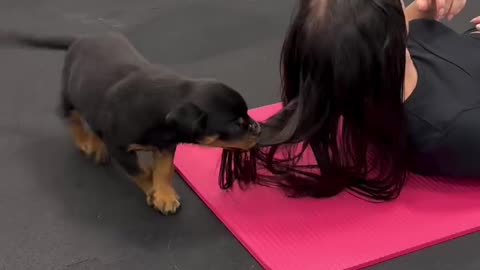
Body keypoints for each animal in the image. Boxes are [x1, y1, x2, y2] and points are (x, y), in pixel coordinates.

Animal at [0, 30, 262, 215]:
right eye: (236, 123)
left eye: (246, 115)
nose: (258, 128)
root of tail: (79, 38)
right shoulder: (121, 149)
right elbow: (141, 172)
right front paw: (153, 192)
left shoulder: (166, 146)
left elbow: (164, 170)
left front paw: (164, 194)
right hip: (69, 95)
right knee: (71, 117)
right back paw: (84, 141)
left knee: (94, 122)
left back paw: (96, 146)